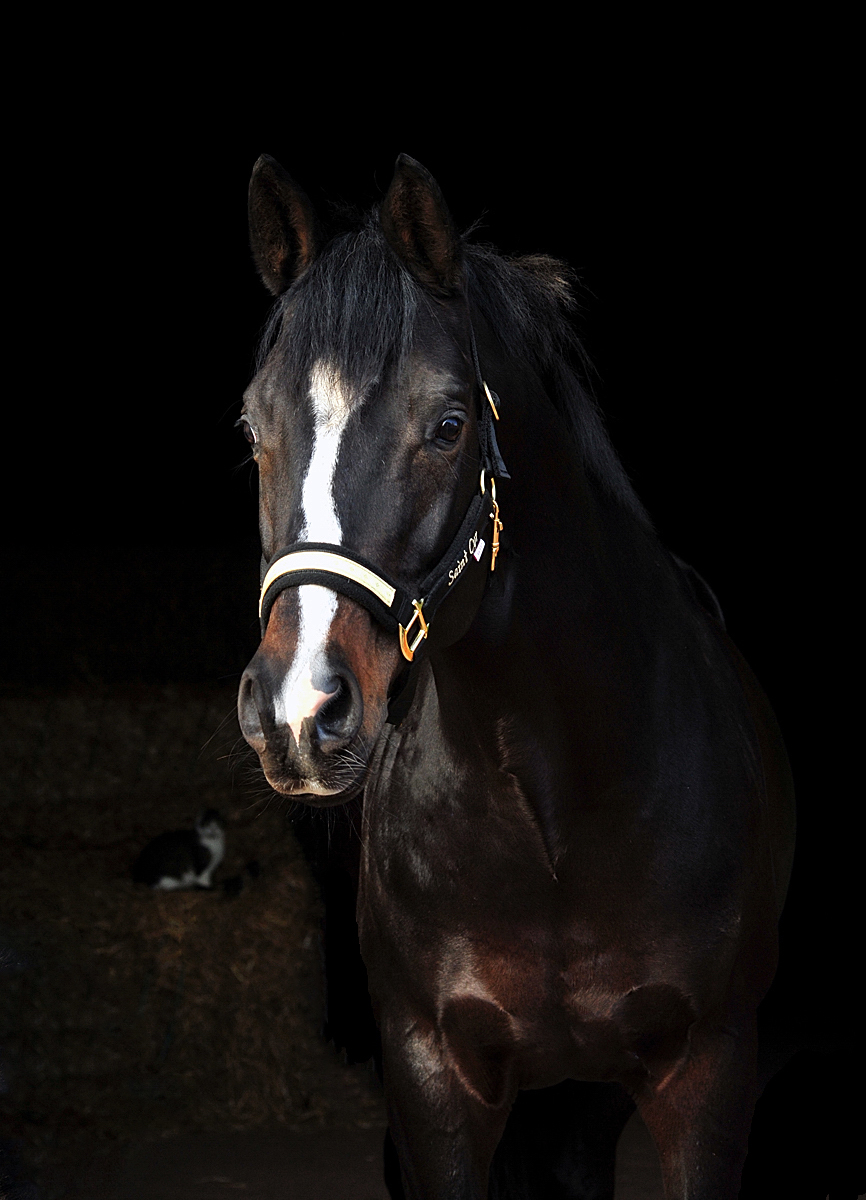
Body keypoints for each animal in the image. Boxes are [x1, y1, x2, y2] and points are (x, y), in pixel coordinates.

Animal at [237, 154, 796, 1195]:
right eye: (252, 429)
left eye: (448, 424)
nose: (299, 710)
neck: (553, 815)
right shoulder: (431, 1080)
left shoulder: (708, 1074)